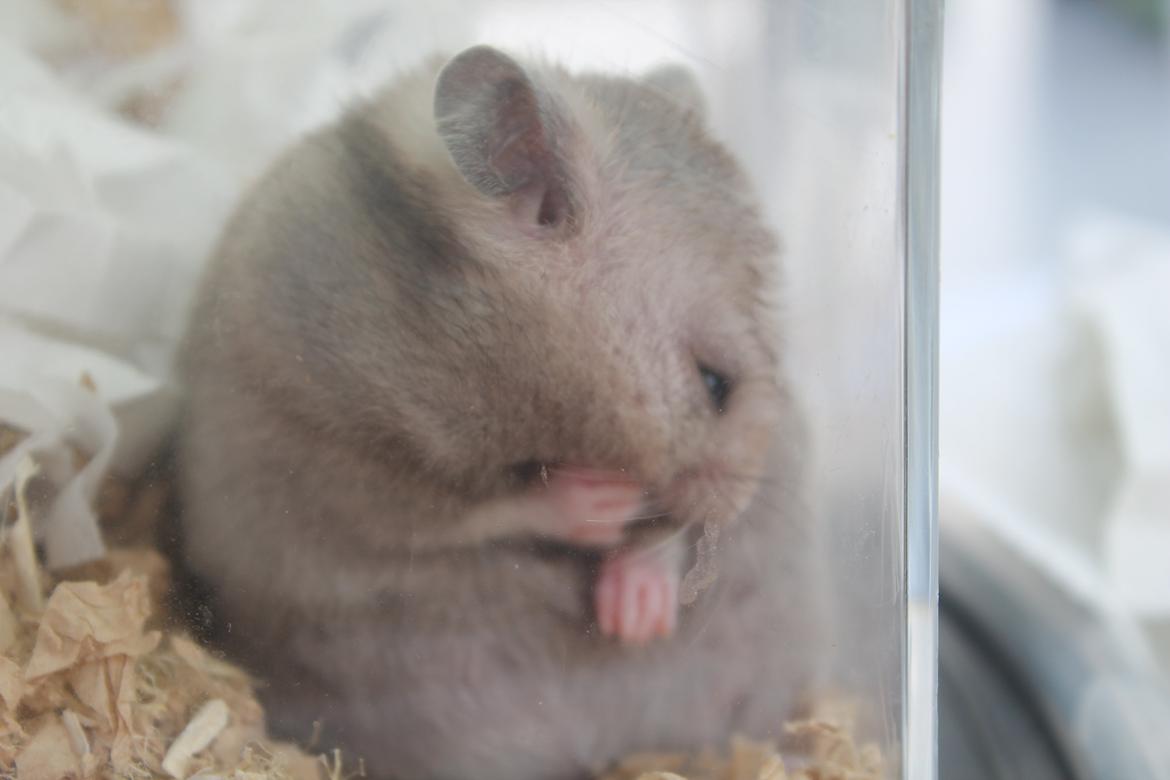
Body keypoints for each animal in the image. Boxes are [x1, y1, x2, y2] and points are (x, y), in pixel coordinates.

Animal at [177, 45, 829, 780]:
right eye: (716, 383)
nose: (740, 506)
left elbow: (655, 528)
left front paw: (636, 615)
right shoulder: (347, 461)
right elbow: (475, 511)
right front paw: (599, 504)